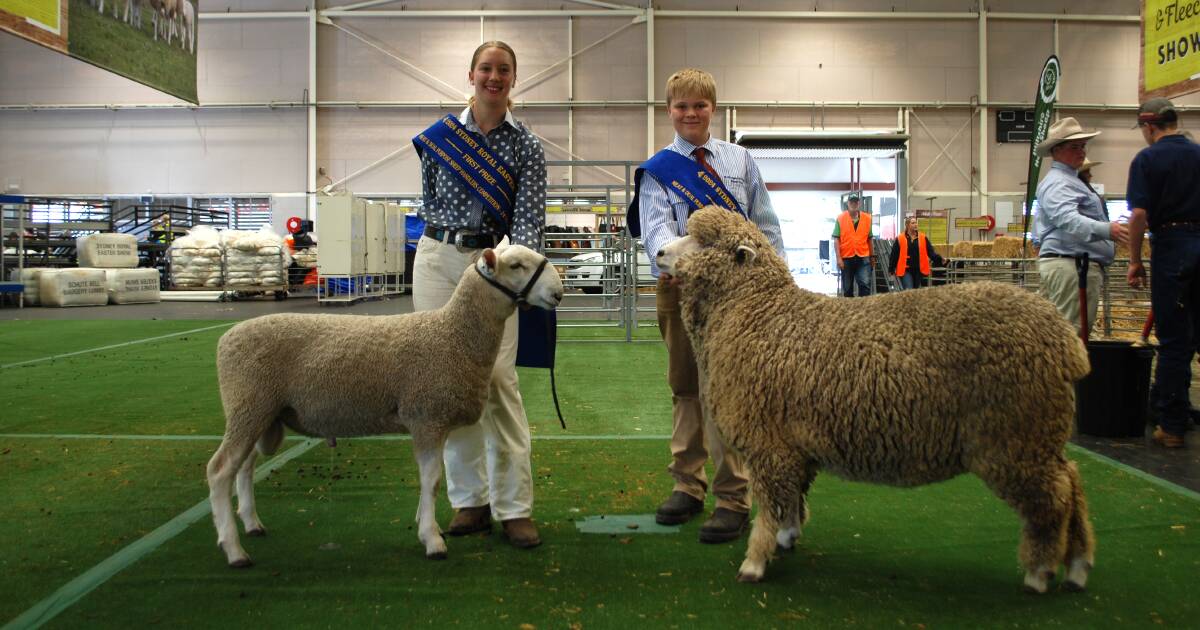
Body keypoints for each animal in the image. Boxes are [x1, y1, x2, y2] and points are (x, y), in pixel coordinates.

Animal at [206, 244, 561, 564]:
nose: (557, 293)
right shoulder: (426, 416)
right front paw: (432, 540)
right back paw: (234, 549)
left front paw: (426, 525)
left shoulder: (436, 420)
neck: (452, 333)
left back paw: (252, 524)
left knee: (245, 466)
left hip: (260, 412)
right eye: (516, 265)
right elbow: (432, 481)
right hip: (249, 403)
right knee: (221, 470)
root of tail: (225, 339)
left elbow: (430, 480)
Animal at [657, 207, 1099, 595]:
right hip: (1038, 436)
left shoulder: (769, 444)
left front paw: (755, 561)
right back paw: (1077, 567)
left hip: (1014, 438)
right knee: (1073, 481)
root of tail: (1066, 342)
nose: (659, 253)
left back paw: (1040, 572)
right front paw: (787, 538)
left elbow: (771, 507)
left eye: (704, 241)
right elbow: (793, 501)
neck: (758, 314)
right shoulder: (795, 446)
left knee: (1054, 499)